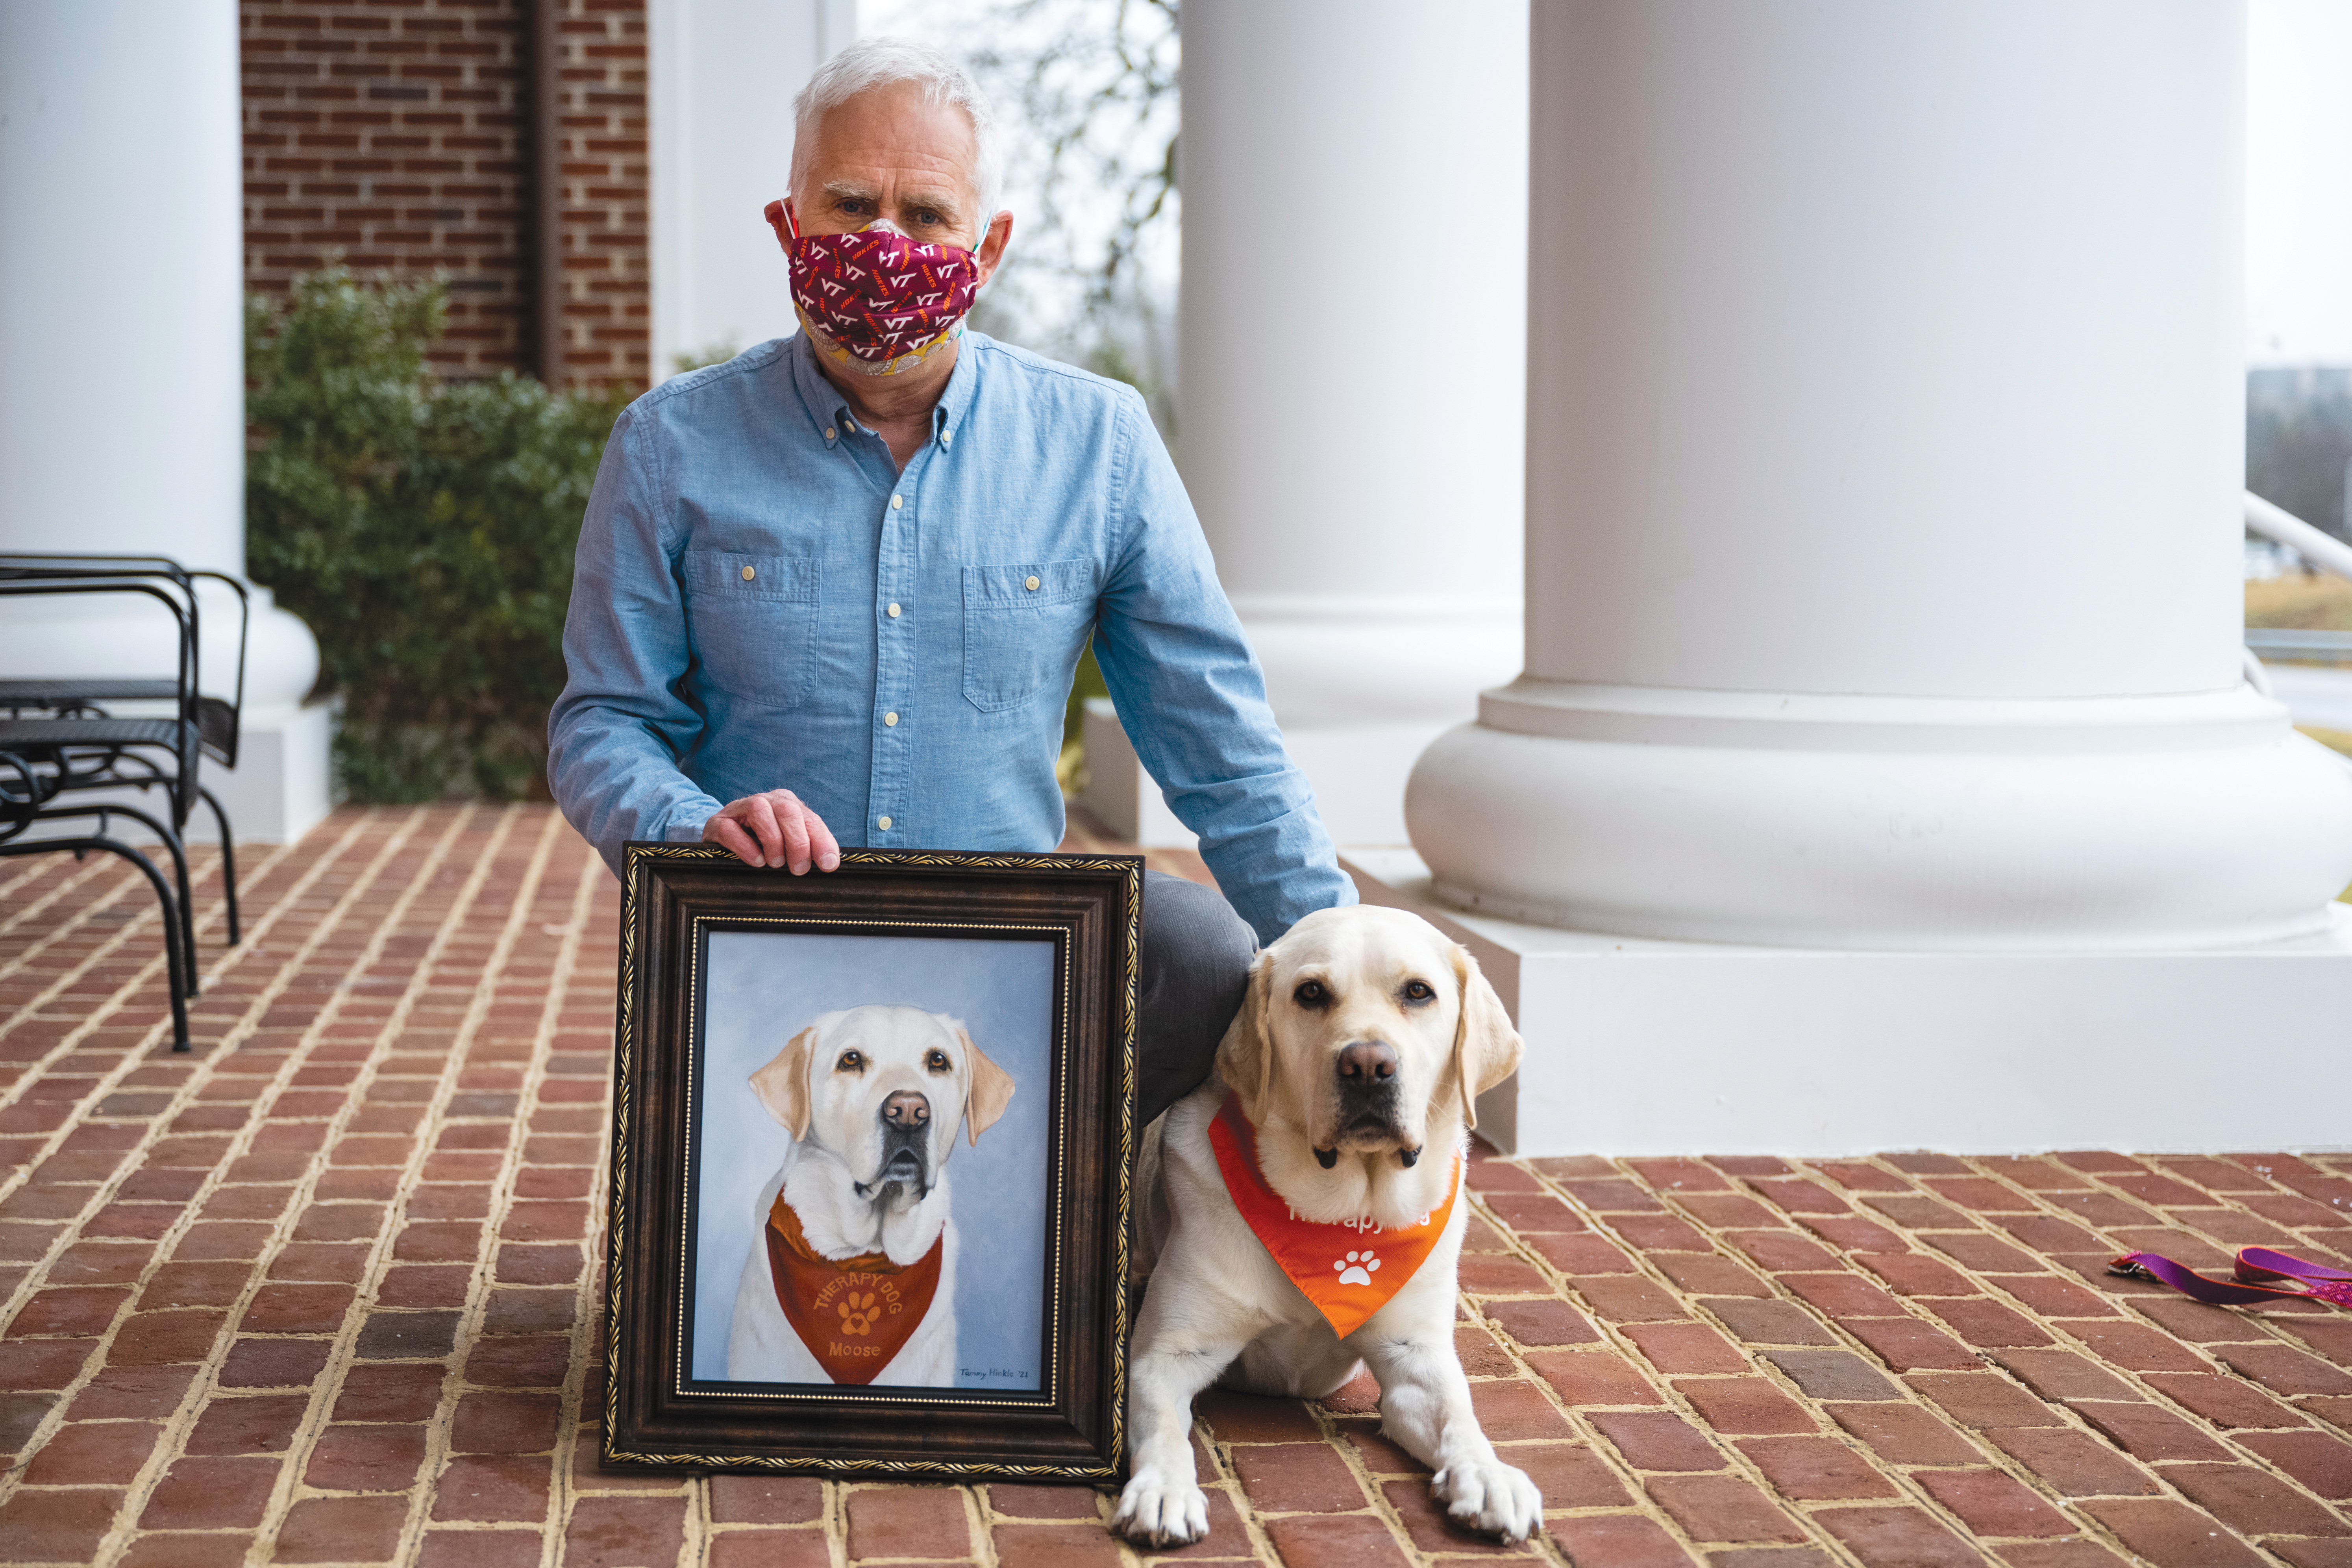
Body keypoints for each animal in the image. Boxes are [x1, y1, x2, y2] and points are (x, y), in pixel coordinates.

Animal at [1110, 907, 1533, 1542]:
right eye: (1310, 993)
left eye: (1418, 992)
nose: (1368, 1065)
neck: (1337, 1217)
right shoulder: (1166, 1354)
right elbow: (1165, 1429)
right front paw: (1163, 1489)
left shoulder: (1416, 1357)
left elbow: (1460, 1415)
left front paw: (1487, 1474)